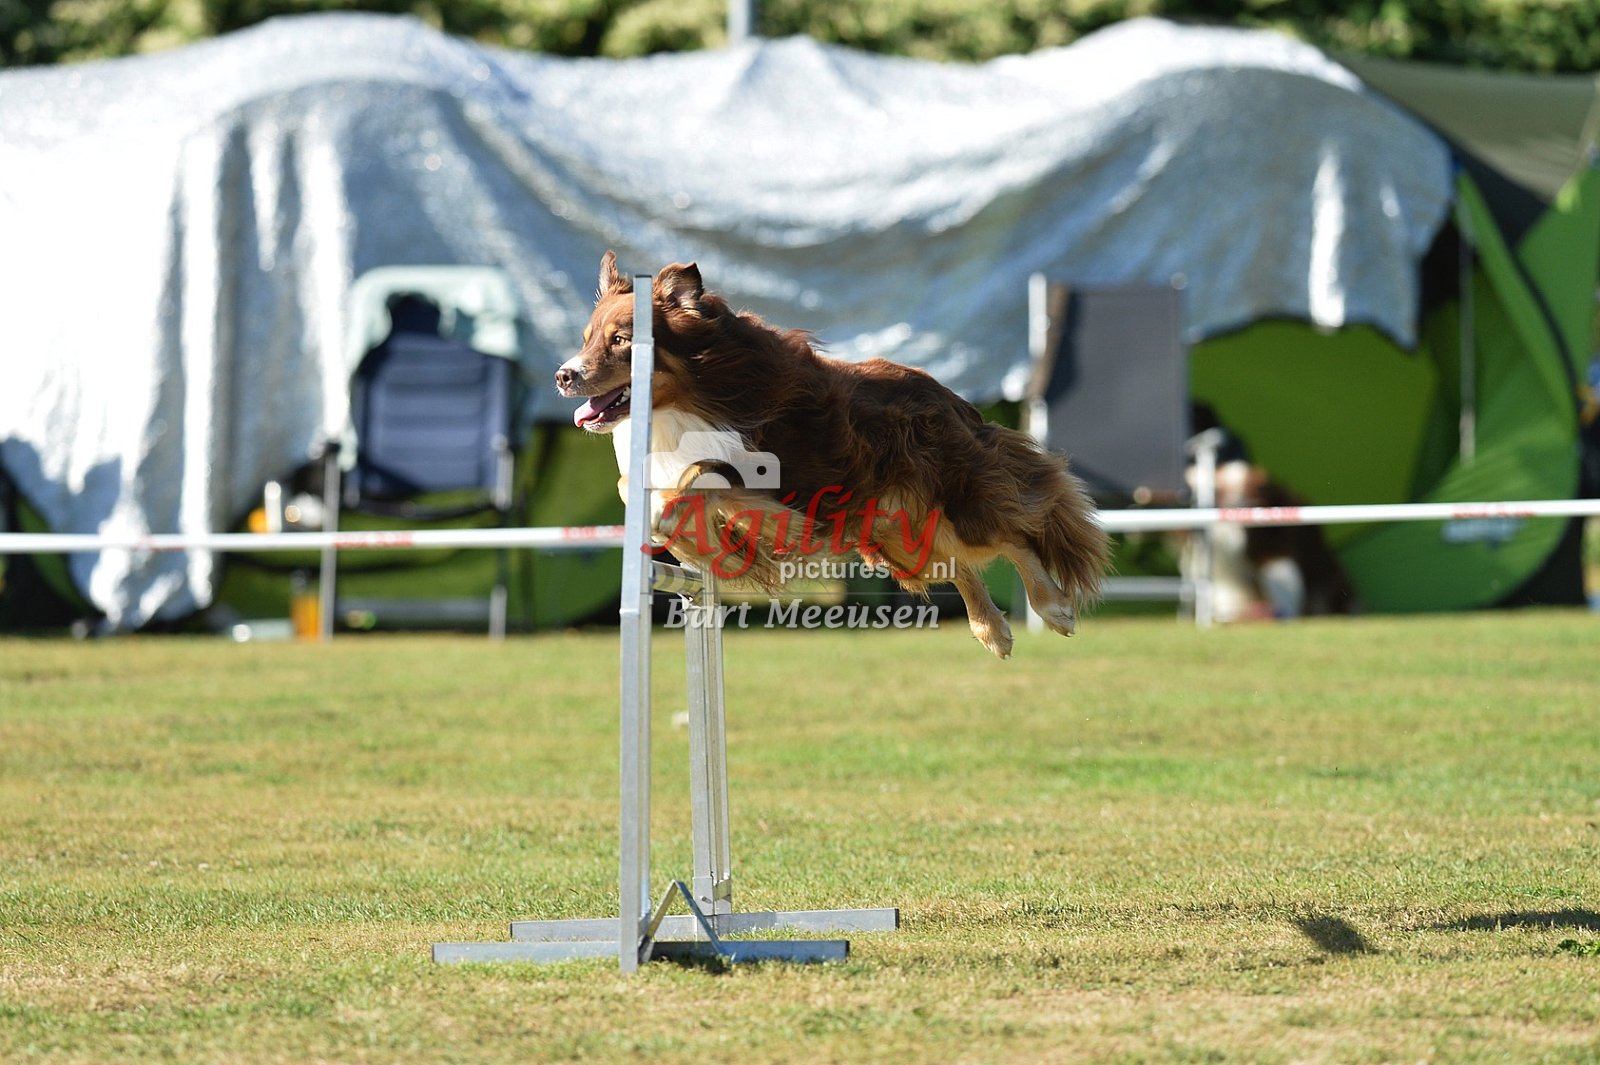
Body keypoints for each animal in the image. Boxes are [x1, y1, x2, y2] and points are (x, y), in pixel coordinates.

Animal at [554, 251, 1109, 658]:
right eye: (586, 339)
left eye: (621, 340)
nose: (563, 375)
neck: (690, 395)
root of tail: (949, 396)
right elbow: (637, 487)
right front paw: (703, 546)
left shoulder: (763, 467)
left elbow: (692, 479)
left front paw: (674, 527)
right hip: (893, 531)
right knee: (958, 565)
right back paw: (992, 630)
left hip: (952, 497)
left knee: (1011, 536)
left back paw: (1054, 610)